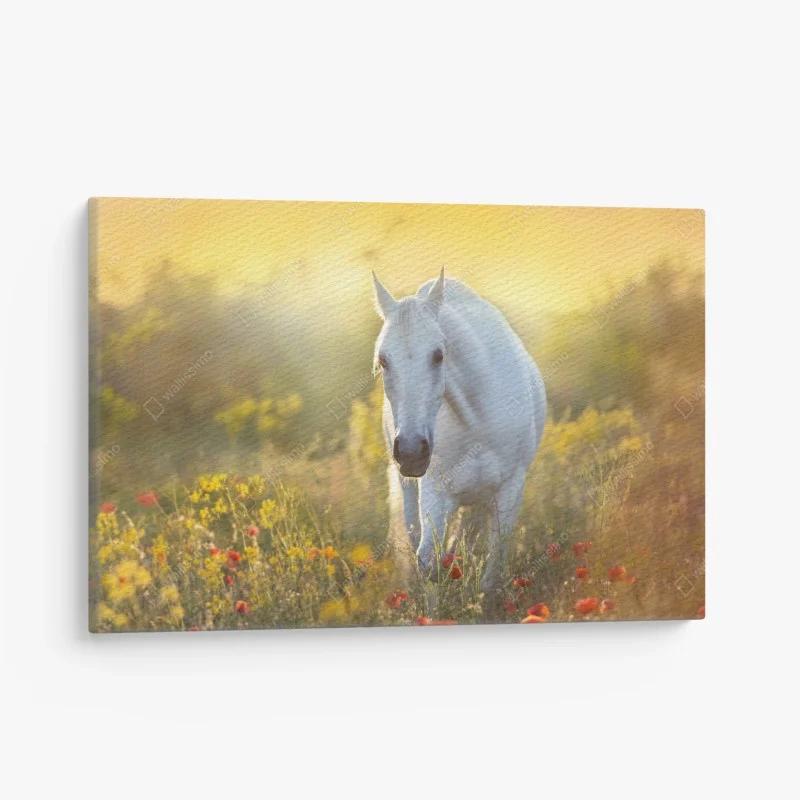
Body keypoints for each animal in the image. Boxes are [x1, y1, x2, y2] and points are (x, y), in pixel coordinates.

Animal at [371, 268, 546, 598]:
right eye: (383, 360)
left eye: (438, 355)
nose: (411, 451)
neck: (477, 420)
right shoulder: (435, 491)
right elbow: (428, 562)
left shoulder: (510, 489)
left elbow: (493, 572)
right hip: (412, 492)